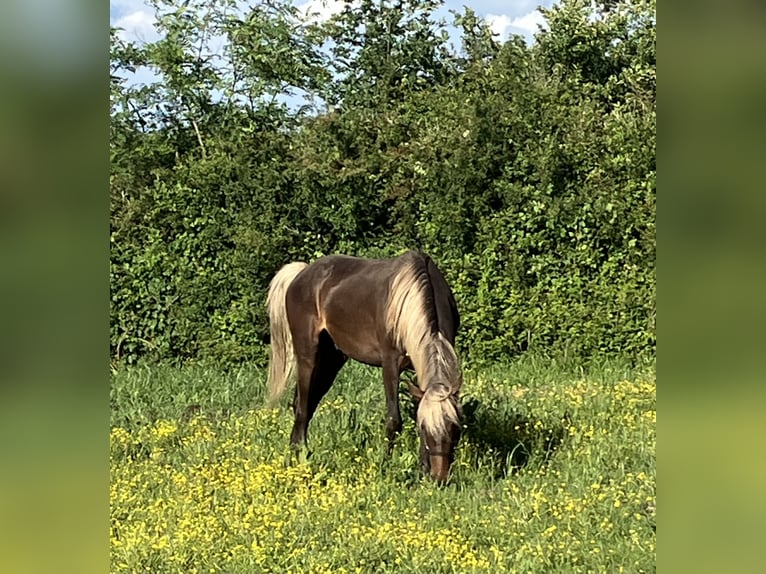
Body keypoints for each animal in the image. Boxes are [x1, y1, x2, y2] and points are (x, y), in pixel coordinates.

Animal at [266, 250, 463, 483]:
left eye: (455, 428)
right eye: (428, 430)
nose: (439, 478)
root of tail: (302, 274)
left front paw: (422, 470)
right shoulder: (390, 363)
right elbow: (393, 421)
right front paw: (386, 465)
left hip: (332, 360)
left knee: (303, 404)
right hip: (307, 355)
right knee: (302, 408)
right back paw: (300, 457)